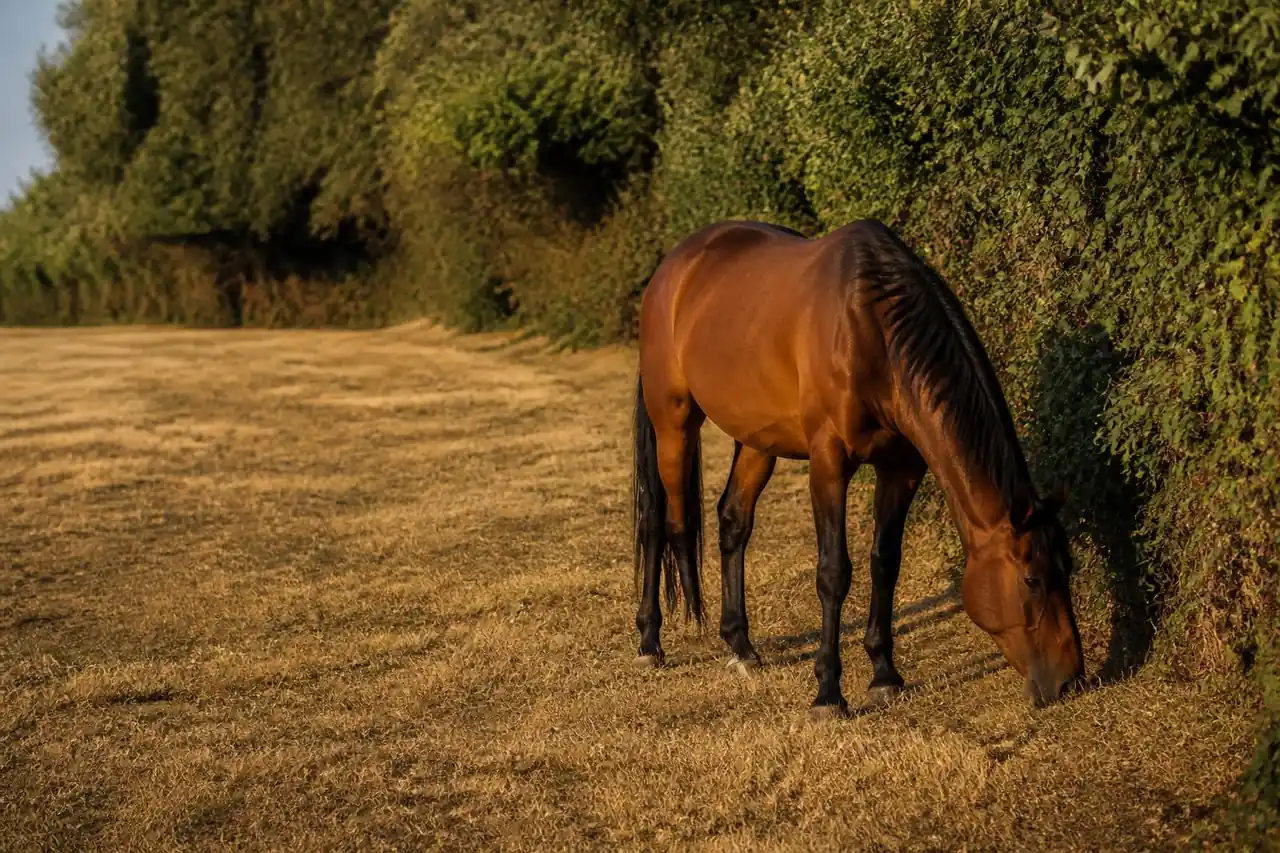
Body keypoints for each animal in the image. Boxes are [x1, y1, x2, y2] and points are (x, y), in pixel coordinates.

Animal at [629, 218, 1085, 720]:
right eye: (1032, 579)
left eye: (1067, 568)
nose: (1070, 681)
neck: (872, 329)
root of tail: (674, 267)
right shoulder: (829, 462)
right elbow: (834, 573)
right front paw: (829, 692)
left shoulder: (901, 467)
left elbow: (885, 562)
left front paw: (884, 675)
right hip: (673, 420)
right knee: (658, 521)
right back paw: (649, 642)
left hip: (757, 439)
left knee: (733, 521)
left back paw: (741, 646)